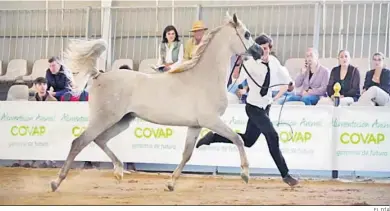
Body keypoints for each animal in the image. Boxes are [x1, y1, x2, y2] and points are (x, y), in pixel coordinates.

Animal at [50, 11, 264, 193]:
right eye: (247, 34)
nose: (260, 52)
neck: (204, 78)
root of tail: (98, 75)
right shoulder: (211, 121)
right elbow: (237, 139)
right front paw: (245, 174)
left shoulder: (195, 126)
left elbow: (187, 154)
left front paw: (170, 183)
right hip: (104, 119)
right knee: (79, 142)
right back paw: (56, 182)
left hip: (122, 120)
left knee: (99, 140)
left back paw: (119, 171)